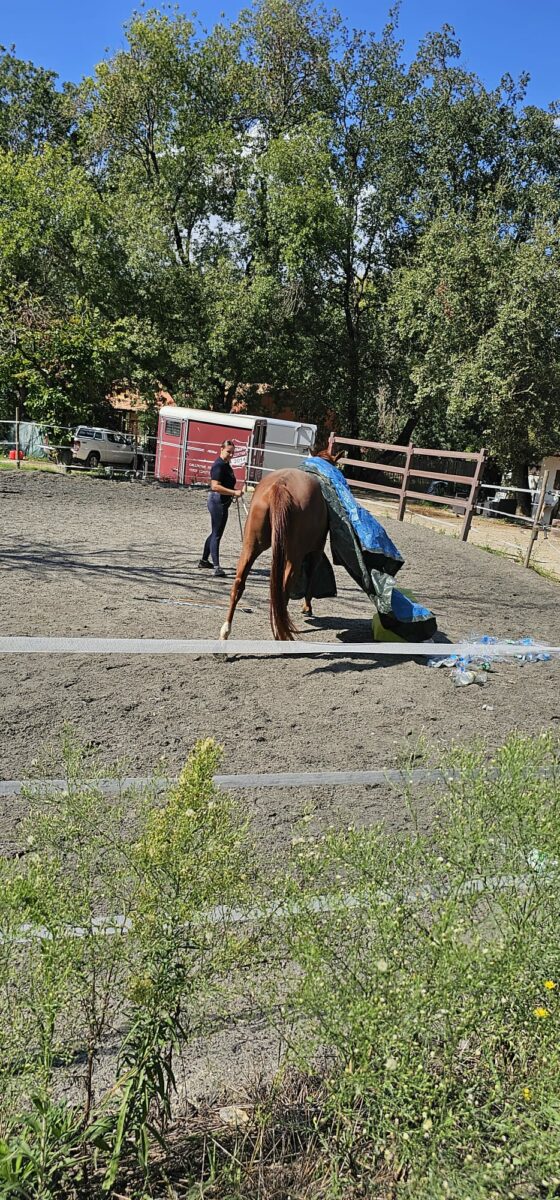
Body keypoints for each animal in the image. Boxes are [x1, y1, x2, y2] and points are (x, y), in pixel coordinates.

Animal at [220, 451, 345, 643]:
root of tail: (279, 487)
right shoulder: (316, 551)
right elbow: (311, 578)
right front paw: (307, 607)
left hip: (250, 546)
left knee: (239, 584)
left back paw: (226, 631)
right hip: (293, 557)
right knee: (284, 590)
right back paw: (281, 632)